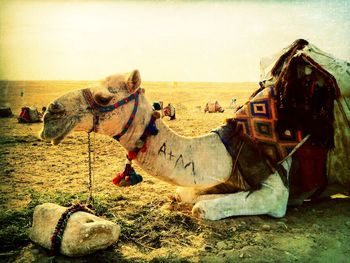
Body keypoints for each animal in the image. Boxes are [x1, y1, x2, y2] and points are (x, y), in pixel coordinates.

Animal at [39, 39, 348, 221]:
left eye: (103, 98)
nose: (50, 113)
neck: (225, 148)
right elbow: (184, 194)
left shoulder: (276, 193)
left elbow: (202, 208)